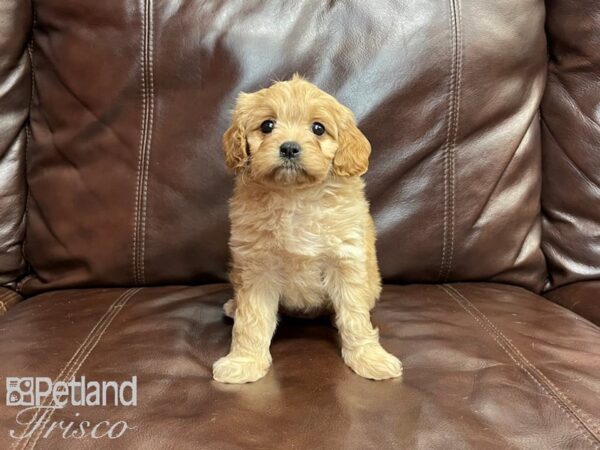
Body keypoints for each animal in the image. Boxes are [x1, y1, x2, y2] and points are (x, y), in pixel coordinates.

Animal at [212, 74, 404, 384]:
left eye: (318, 128)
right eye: (267, 125)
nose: (289, 147)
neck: (296, 197)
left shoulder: (346, 261)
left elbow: (355, 316)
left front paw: (369, 358)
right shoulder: (257, 266)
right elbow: (252, 320)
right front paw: (244, 362)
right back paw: (233, 306)